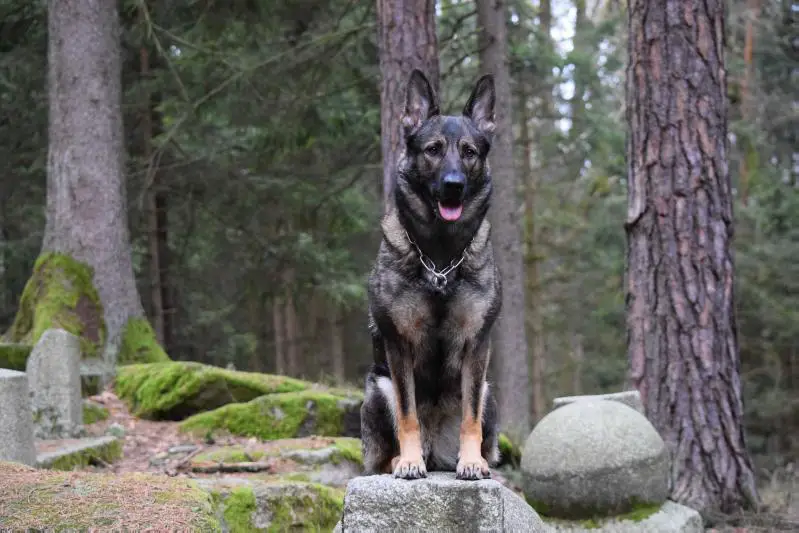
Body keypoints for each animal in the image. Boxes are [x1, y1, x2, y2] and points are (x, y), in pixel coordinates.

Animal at [360, 68, 500, 480]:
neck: (439, 258)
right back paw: (403, 459)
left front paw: (471, 461)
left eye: (469, 152)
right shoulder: (399, 346)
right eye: (433, 150)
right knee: (385, 451)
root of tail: (437, 449)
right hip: (379, 388)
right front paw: (408, 461)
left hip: (491, 392)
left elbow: (470, 418)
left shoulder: (476, 347)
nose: (454, 186)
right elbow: (408, 416)